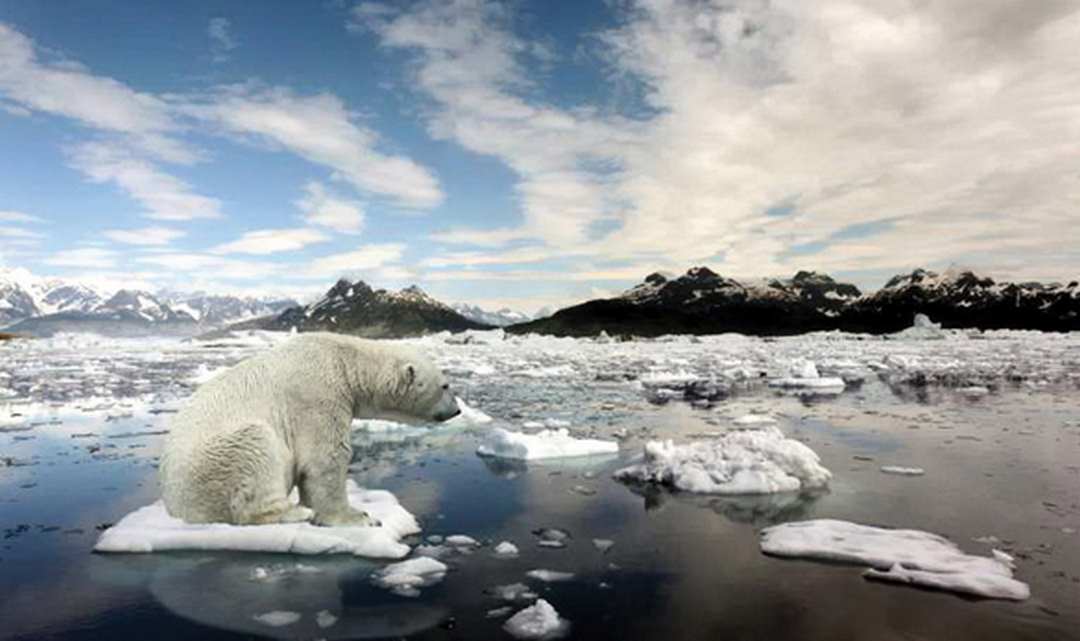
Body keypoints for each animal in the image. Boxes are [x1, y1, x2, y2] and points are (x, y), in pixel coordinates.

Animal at [159, 330, 460, 524]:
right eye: (446, 385)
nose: (457, 410)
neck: (344, 361)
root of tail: (175, 509)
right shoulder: (317, 397)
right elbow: (325, 459)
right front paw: (359, 517)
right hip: (216, 463)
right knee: (256, 450)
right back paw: (294, 513)